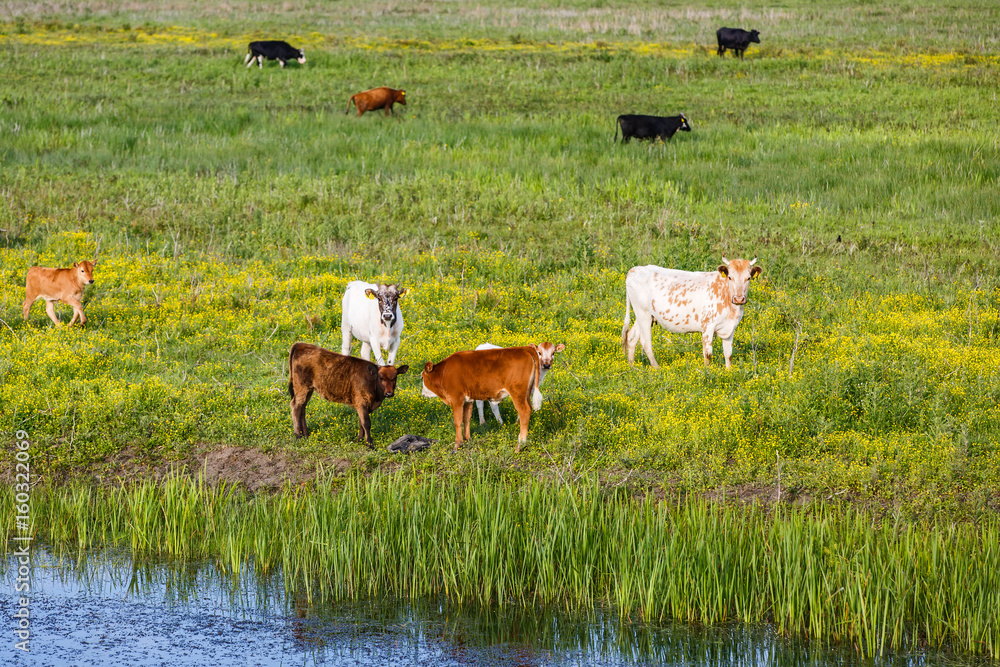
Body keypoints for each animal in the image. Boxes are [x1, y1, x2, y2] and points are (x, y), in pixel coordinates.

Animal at [620, 258, 760, 370]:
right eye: (730, 277)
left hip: (646, 316)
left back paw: (632, 367)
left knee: (632, 337)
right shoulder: (708, 325)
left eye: (748, 278)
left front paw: (728, 372)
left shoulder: (730, 327)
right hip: (643, 313)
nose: (739, 299)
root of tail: (635, 269)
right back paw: (657, 368)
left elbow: (728, 353)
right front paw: (707, 372)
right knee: (646, 342)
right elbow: (708, 354)